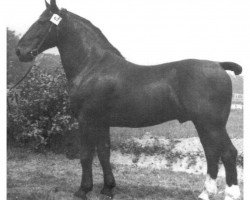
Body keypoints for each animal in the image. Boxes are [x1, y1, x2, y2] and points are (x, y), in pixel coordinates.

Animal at [16, 0, 242, 199]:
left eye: (41, 22)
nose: (20, 51)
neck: (92, 66)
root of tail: (219, 65)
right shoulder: (101, 122)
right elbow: (104, 153)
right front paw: (107, 189)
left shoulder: (86, 120)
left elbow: (86, 155)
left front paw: (83, 190)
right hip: (204, 125)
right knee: (212, 153)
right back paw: (205, 193)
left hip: (212, 125)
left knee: (228, 153)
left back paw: (231, 194)